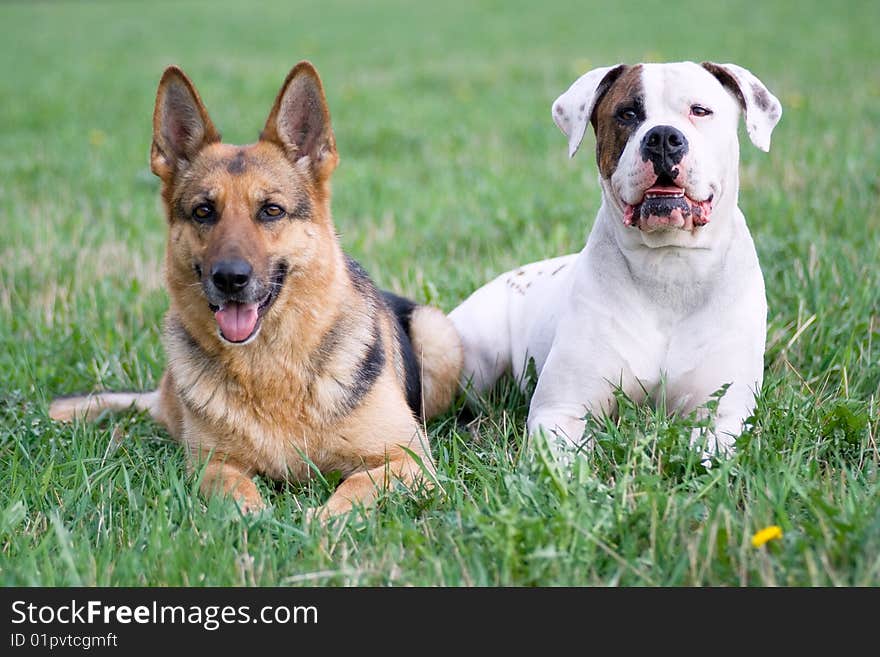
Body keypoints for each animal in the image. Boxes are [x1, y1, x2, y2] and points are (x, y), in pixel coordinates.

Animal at [49, 61, 464, 516]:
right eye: (203, 211)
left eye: (271, 210)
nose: (230, 278)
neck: (268, 368)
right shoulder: (212, 464)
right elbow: (236, 493)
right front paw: (256, 520)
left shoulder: (407, 460)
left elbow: (355, 489)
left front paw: (320, 521)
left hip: (439, 339)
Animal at [450, 61, 780, 456]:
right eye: (627, 114)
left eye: (700, 110)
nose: (663, 137)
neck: (669, 267)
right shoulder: (561, 410)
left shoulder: (724, 413)